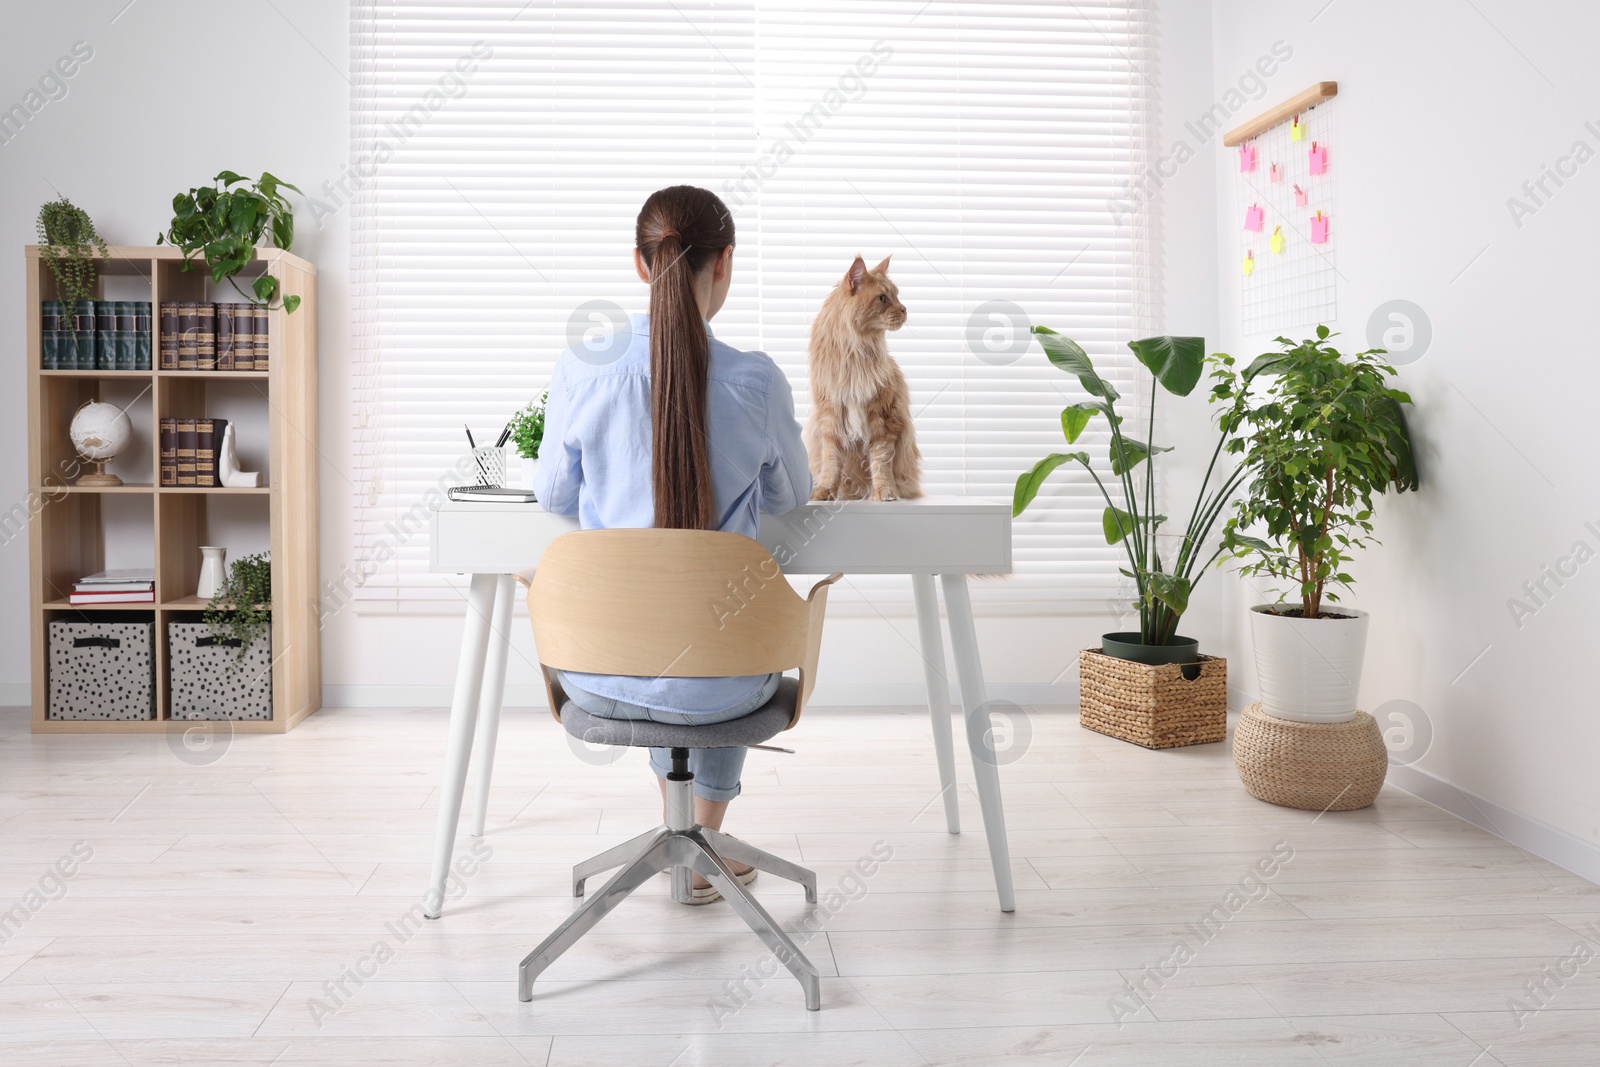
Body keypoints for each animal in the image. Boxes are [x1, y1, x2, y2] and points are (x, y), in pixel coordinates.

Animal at [800, 254, 928, 502]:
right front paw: (824, 491)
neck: (856, 354)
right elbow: (831, 463)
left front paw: (885, 492)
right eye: (882, 298)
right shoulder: (830, 417)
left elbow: (881, 461)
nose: (904, 309)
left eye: (897, 295)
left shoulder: (884, 417)